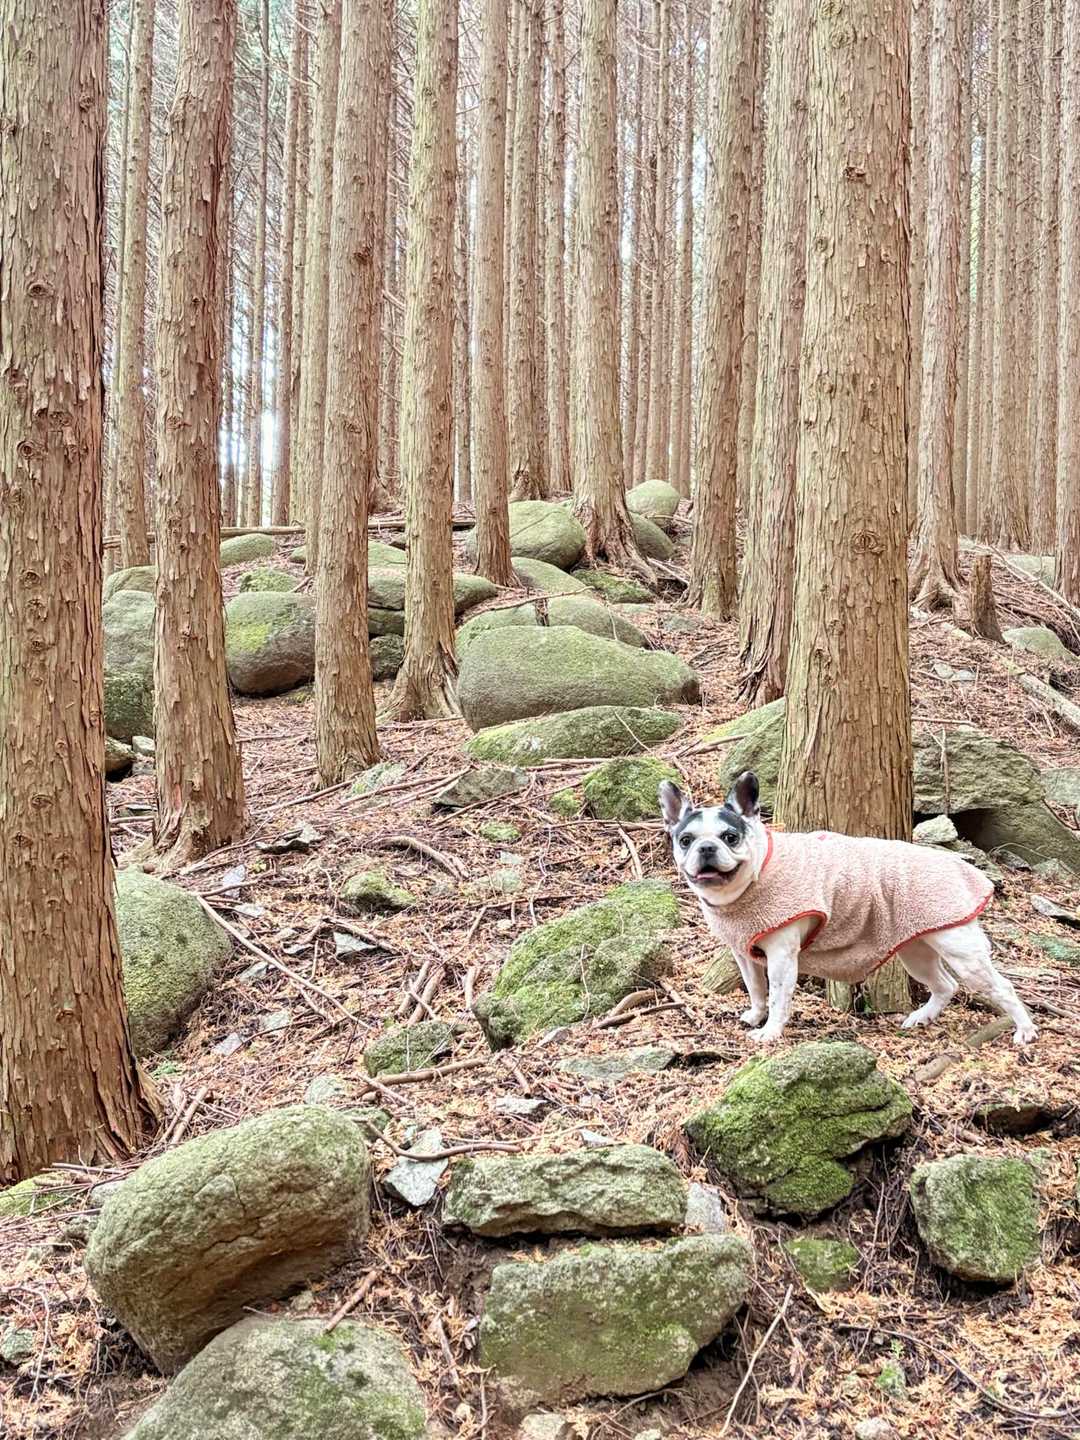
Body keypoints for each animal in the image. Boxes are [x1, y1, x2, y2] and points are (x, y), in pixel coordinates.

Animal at [660, 770, 1037, 1047]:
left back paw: (1025, 1030)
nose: (706, 848)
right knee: (944, 985)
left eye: (730, 837)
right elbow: (755, 988)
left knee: (1001, 987)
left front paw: (770, 1032)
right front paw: (755, 1015)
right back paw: (922, 1017)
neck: (752, 879)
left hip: (961, 950)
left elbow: (779, 996)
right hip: (916, 949)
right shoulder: (743, 953)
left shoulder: (782, 956)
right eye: (685, 841)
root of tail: (956, 865)